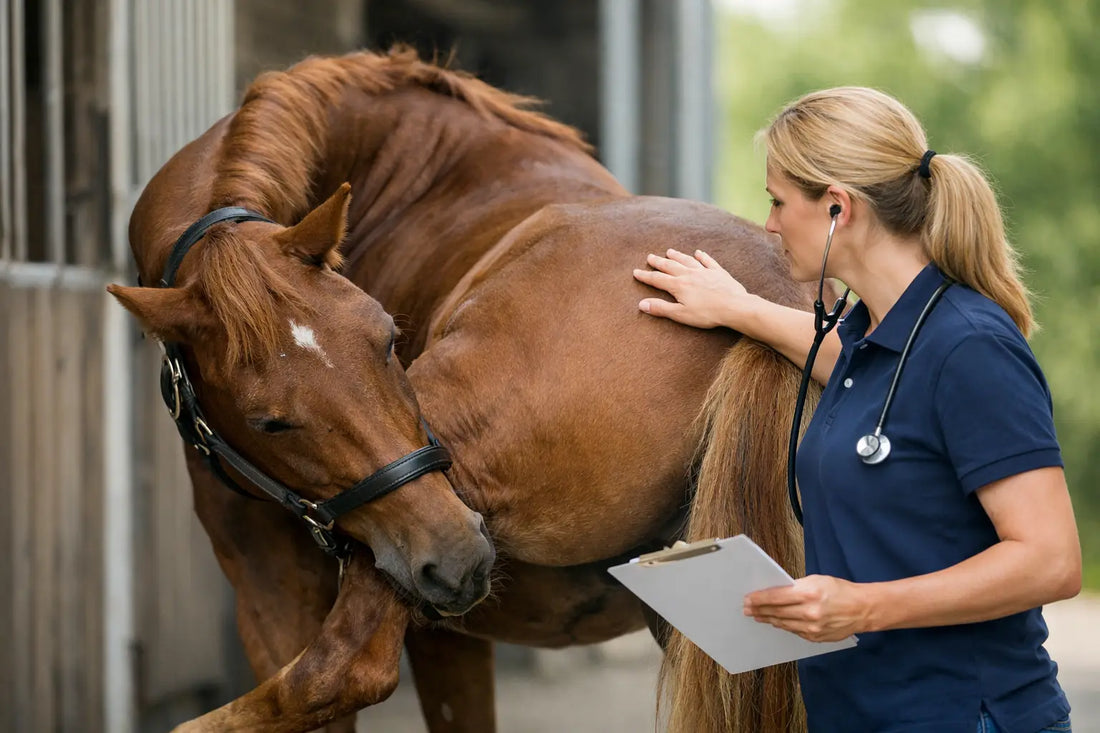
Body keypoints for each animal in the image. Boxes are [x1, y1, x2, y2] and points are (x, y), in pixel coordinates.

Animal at [108, 47, 816, 732]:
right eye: (268, 423)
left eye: (388, 339)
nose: (458, 554)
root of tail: (767, 301)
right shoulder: (448, 619)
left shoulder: (272, 570)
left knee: (338, 670)